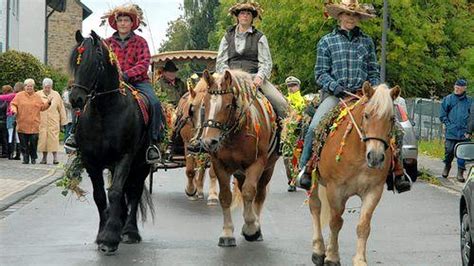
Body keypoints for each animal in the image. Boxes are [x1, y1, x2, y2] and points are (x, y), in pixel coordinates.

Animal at [69, 30, 154, 255]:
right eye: (74, 62)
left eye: (94, 63)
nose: (75, 99)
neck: (104, 111)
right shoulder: (91, 161)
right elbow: (100, 196)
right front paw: (102, 234)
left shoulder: (125, 157)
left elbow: (115, 192)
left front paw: (110, 238)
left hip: (141, 165)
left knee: (134, 193)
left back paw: (130, 231)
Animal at [195, 69, 280, 246]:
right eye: (205, 104)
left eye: (227, 105)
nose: (209, 142)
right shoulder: (219, 165)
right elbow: (225, 197)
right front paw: (227, 233)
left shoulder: (257, 164)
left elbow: (249, 193)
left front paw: (251, 228)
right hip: (240, 172)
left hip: (268, 170)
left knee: (259, 195)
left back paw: (256, 227)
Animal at [310, 82, 402, 264]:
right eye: (366, 115)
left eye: (392, 118)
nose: (375, 157)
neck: (358, 155)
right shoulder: (335, 189)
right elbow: (335, 222)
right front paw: (332, 257)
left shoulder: (373, 191)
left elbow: (363, 226)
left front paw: (360, 260)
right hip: (314, 180)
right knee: (316, 208)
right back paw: (318, 249)